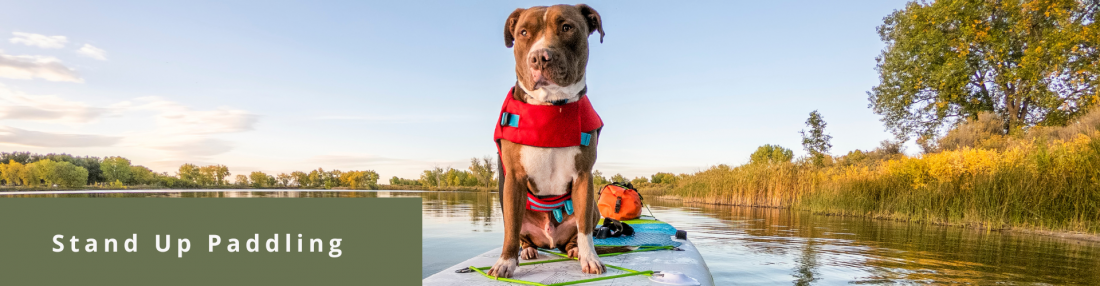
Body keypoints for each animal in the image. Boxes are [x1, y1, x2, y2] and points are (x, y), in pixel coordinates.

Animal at [490, 3, 611, 278]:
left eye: (567, 27)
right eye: (523, 32)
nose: (539, 57)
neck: (552, 105)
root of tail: (550, 241)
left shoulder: (584, 177)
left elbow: (585, 230)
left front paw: (590, 258)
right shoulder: (513, 179)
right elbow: (510, 230)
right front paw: (505, 262)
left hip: (594, 207)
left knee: (576, 233)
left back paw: (574, 249)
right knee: (520, 233)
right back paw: (528, 250)